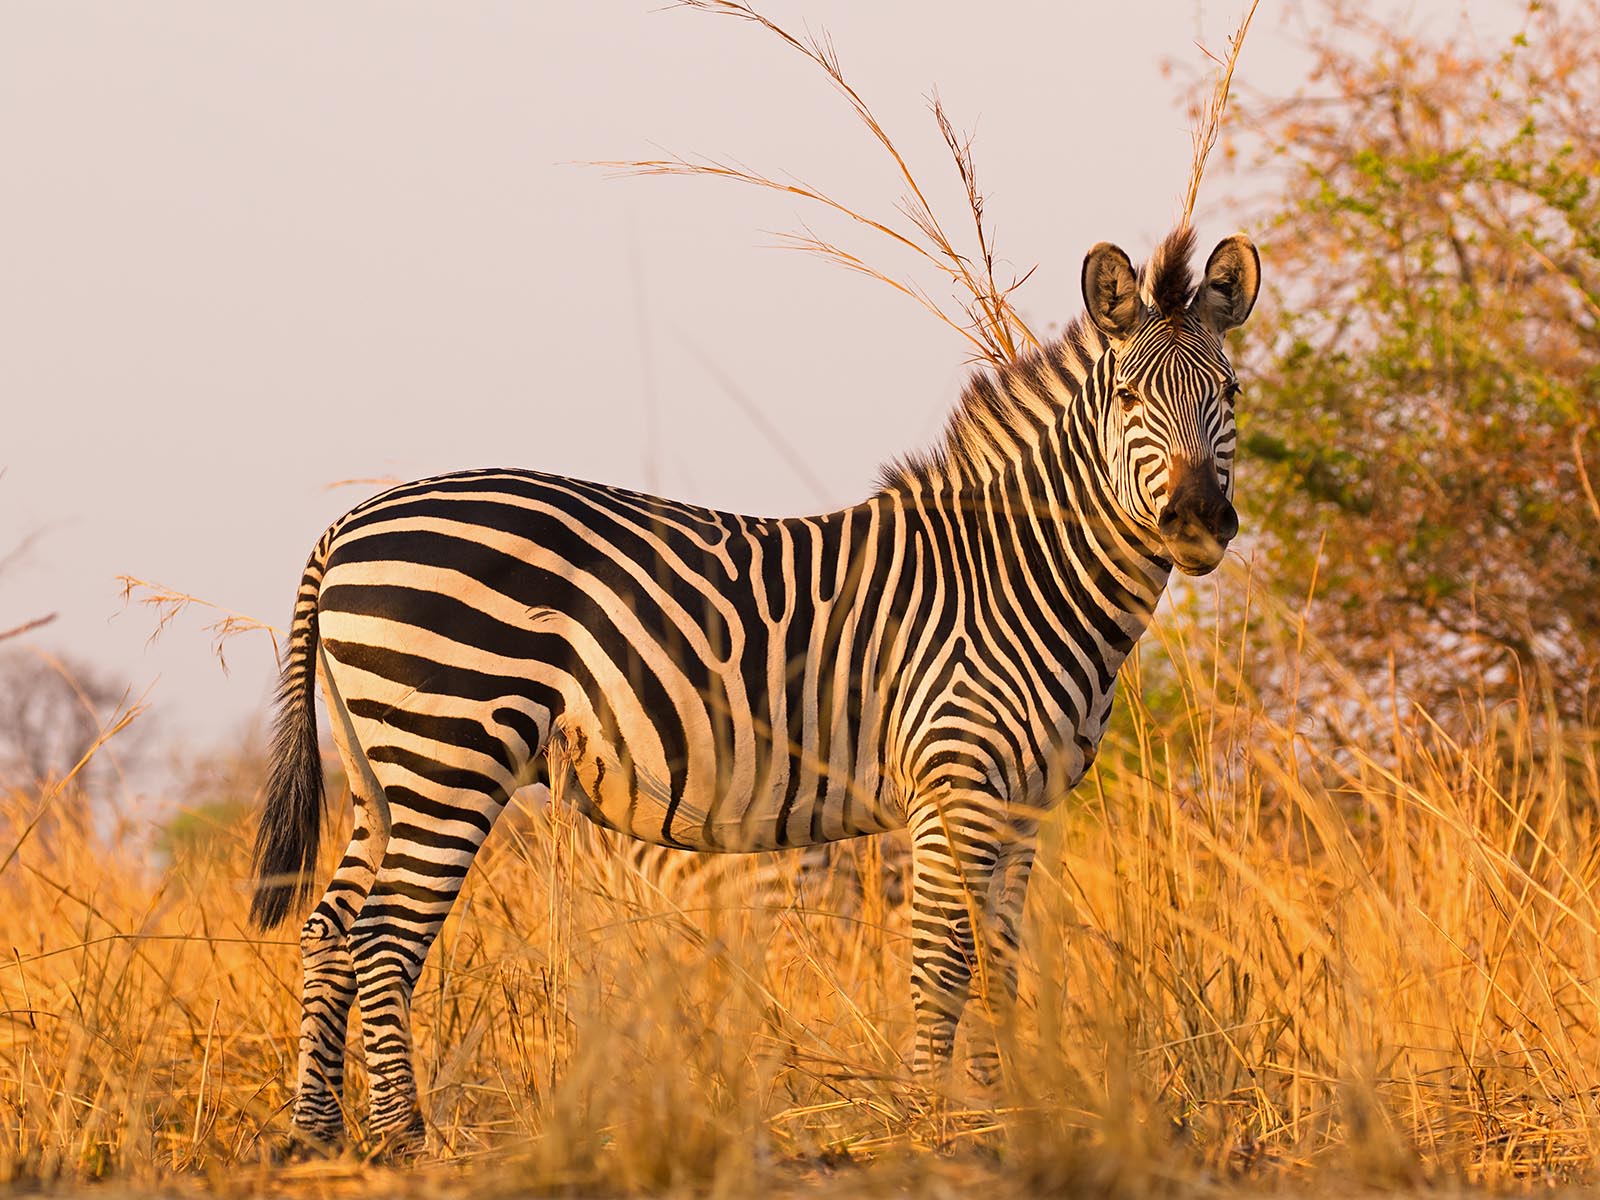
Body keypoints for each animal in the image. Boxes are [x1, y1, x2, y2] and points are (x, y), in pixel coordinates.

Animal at [251, 225, 1260, 1152]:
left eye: (1231, 394)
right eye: (1127, 398)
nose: (1197, 521)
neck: (1016, 573)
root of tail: (350, 521)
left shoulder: (1022, 806)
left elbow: (1001, 962)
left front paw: (1003, 1115)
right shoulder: (953, 781)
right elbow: (942, 960)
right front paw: (929, 1123)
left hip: (384, 767)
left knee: (328, 930)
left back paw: (315, 1134)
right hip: (450, 749)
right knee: (383, 937)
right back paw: (405, 1139)